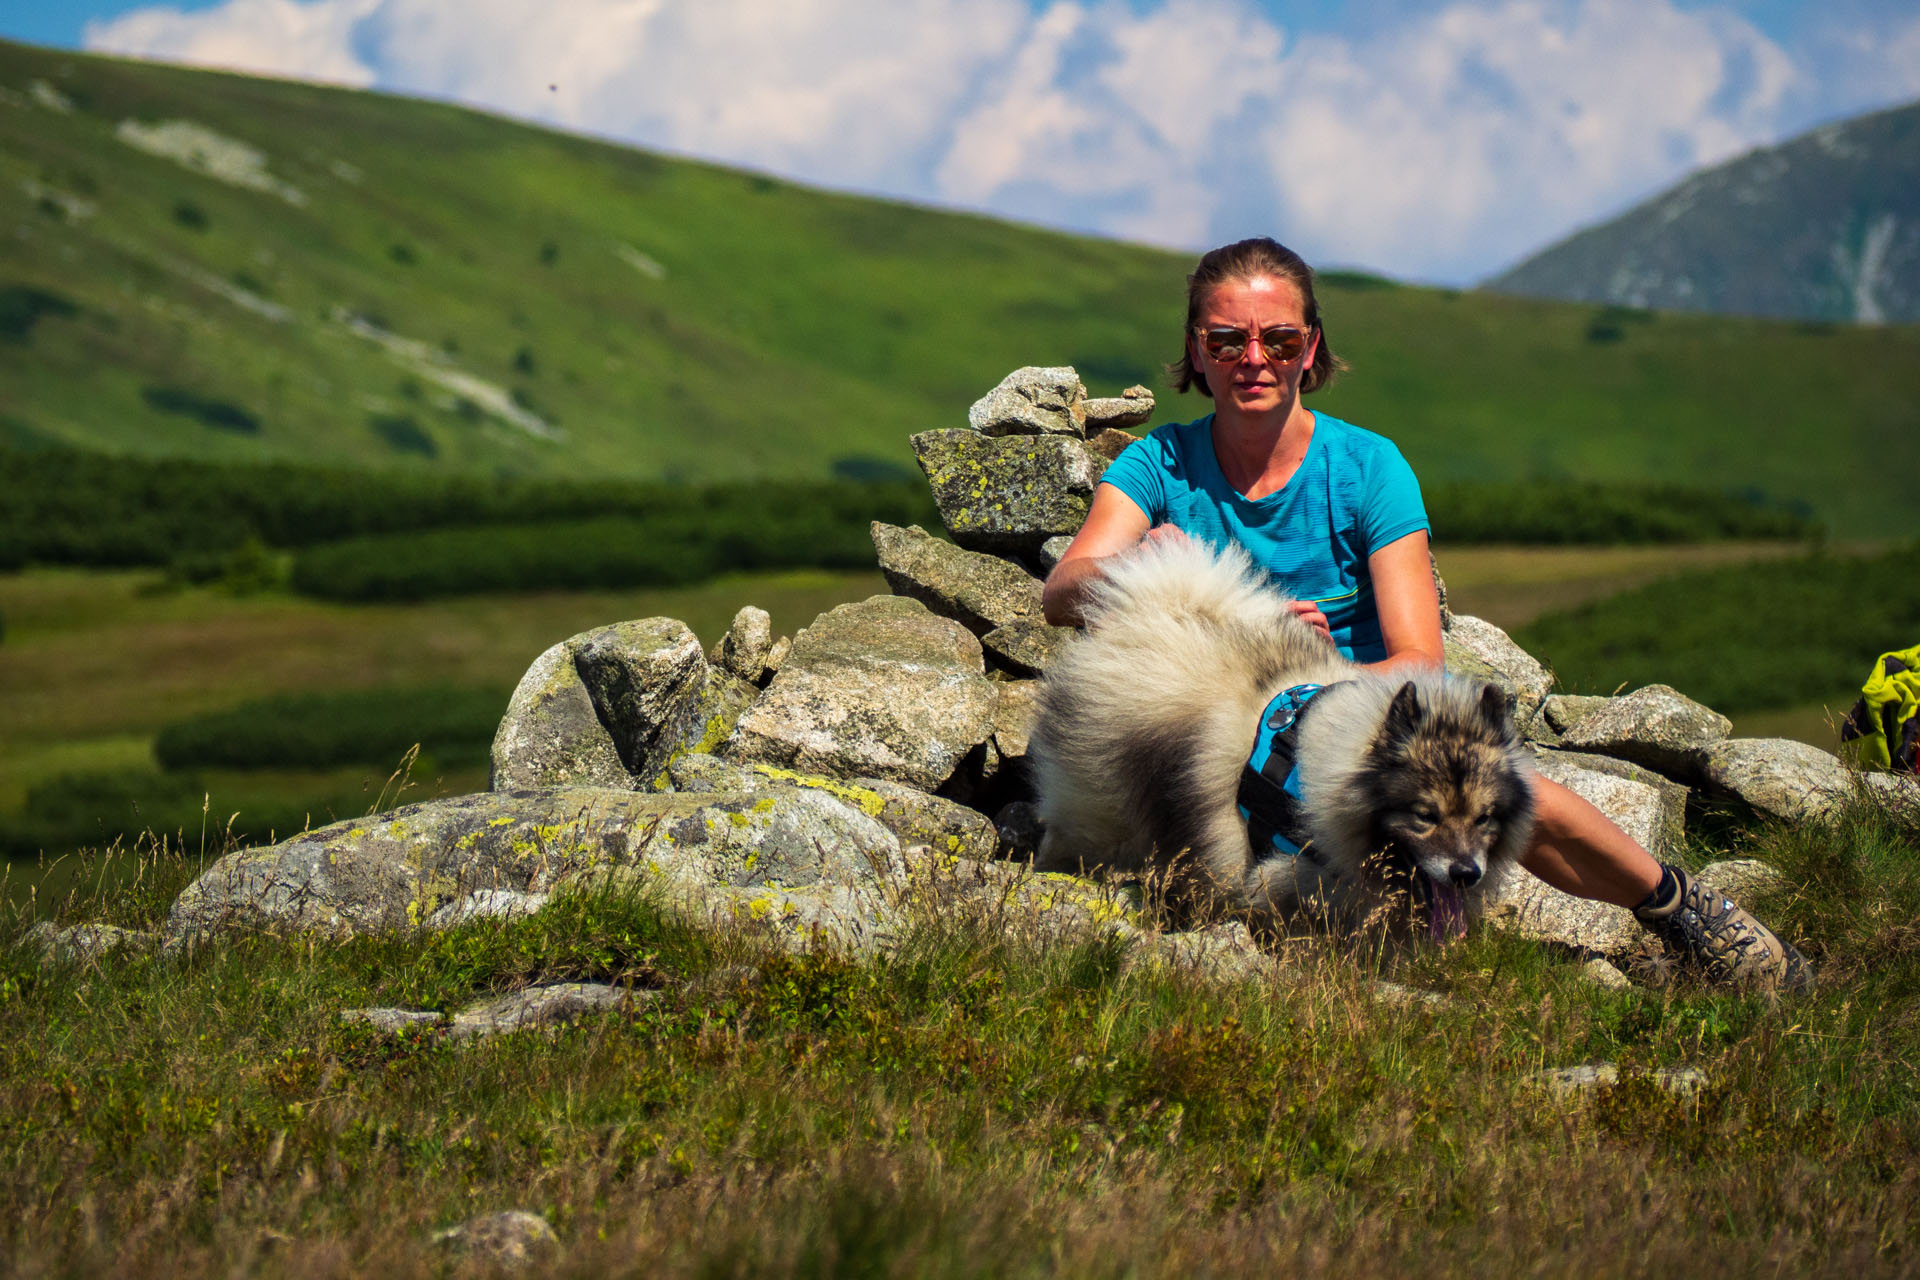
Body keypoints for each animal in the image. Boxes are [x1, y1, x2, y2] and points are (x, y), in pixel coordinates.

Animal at [1029, 537, 1536, 936]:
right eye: (1424, 815)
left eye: (1484, 818)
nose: (1466, 873)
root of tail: (1152, 613)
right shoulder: (1275, 873)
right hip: (1101, 807)